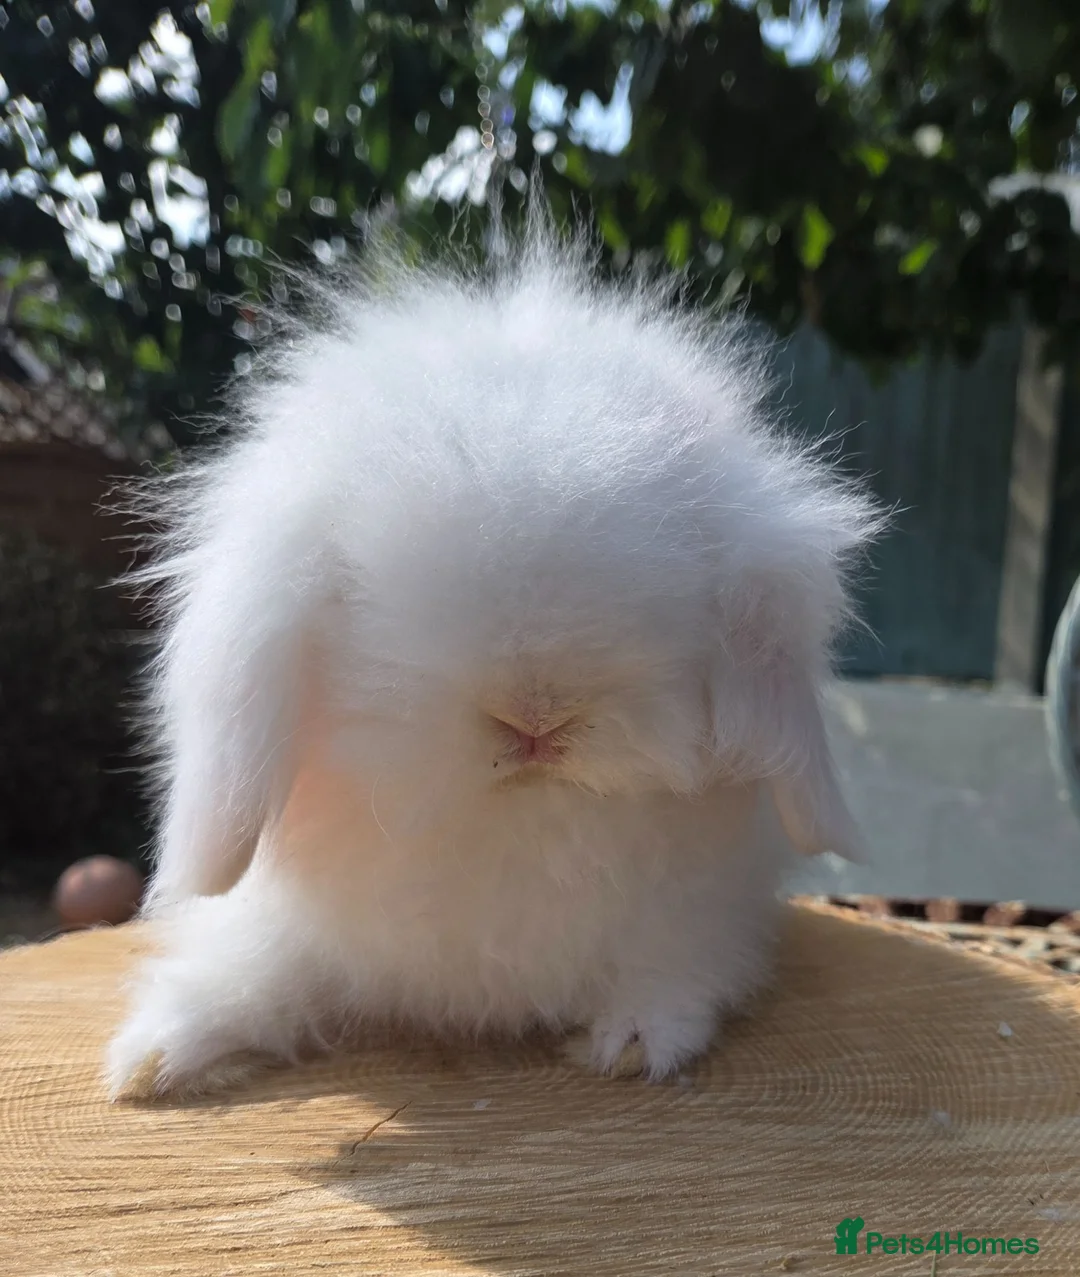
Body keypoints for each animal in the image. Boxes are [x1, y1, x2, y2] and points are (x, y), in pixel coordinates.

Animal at [105, 217, 878, 1099]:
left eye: (682, 582)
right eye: (355, 591)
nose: (537, 720)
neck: (519, 826)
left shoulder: (699, 915)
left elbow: (676, 971)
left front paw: (637, 1039)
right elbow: (259, 970)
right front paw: (156, 1055)